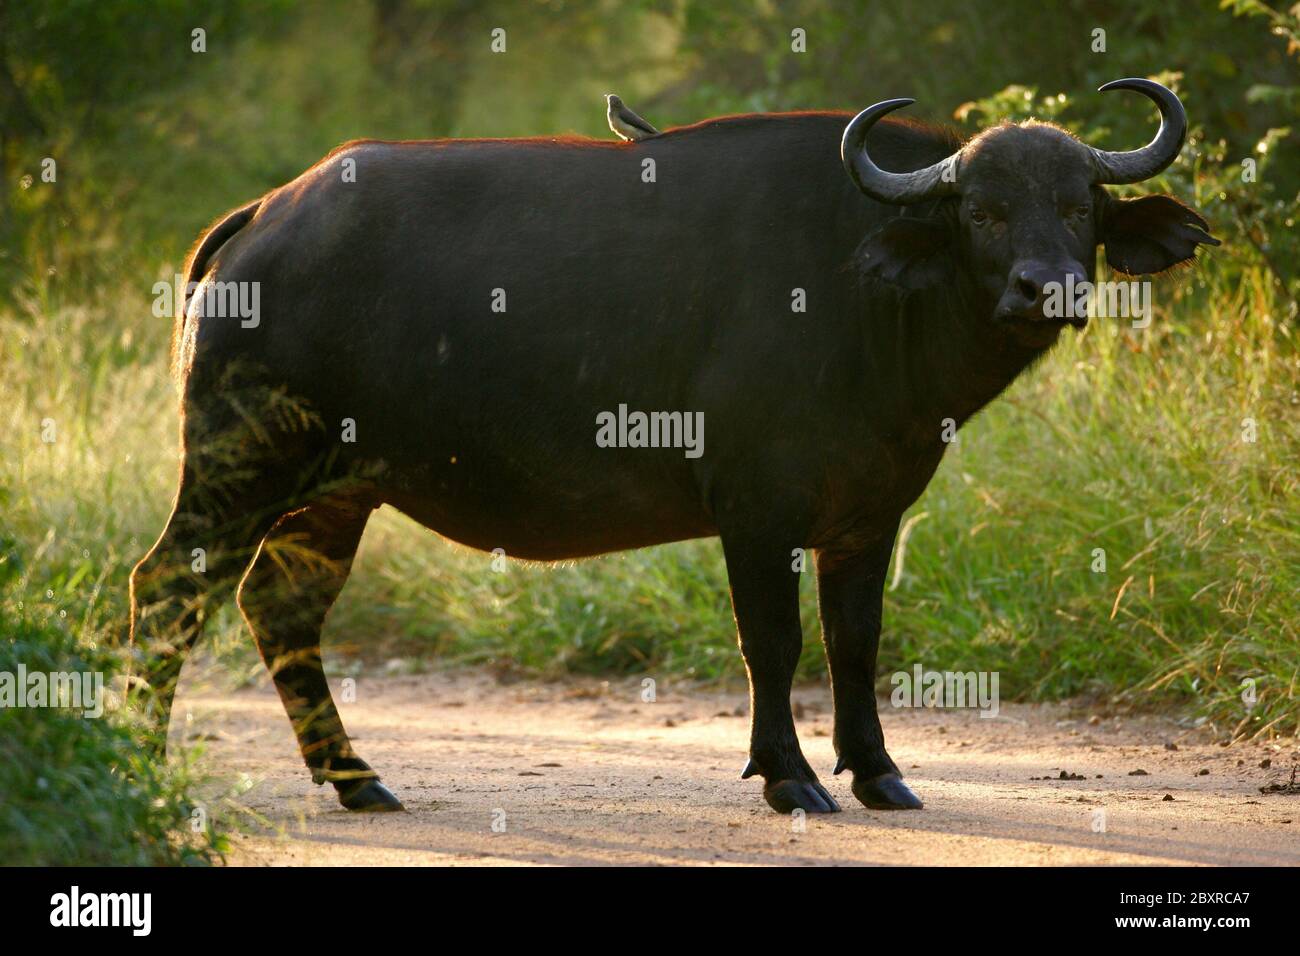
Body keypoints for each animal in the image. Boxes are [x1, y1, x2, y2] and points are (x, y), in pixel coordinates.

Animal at [130, 79, 1217, 815]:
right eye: (983, 210)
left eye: (1077, 205)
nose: (1048, 287)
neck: (861, 292)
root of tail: (267, 216)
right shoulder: (755, 512)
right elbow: (771, 643)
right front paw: (790, 777)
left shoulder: (869, 516)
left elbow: (856, 642)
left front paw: (878, 772)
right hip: (237, 464)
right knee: (167, 587)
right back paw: (144, 756)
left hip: (335, 491)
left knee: (278, 606)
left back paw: (356, 778)